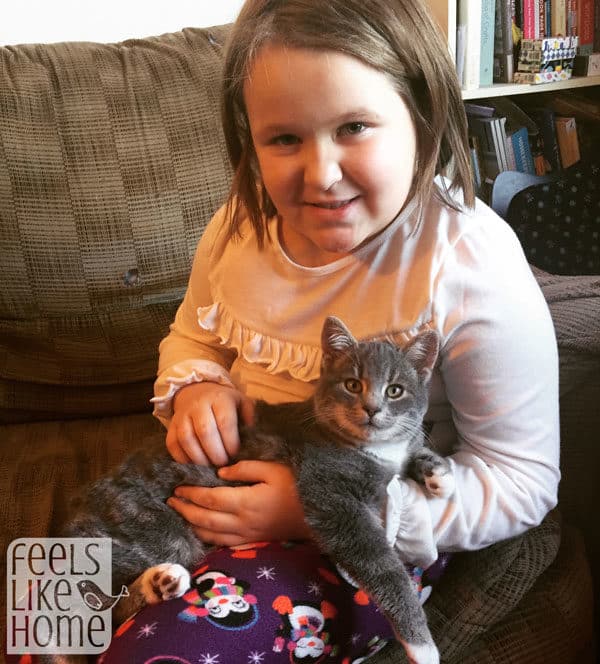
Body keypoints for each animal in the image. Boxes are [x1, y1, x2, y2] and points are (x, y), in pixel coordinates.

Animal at [52, 316, 454, 664]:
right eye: (353, 384)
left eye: (395, 390)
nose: (372, 409)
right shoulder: (332, 496)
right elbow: (379, 563)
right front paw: (422, 646)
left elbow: (412, 451)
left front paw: (439, 472)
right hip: (155, 533)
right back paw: (158, 580)